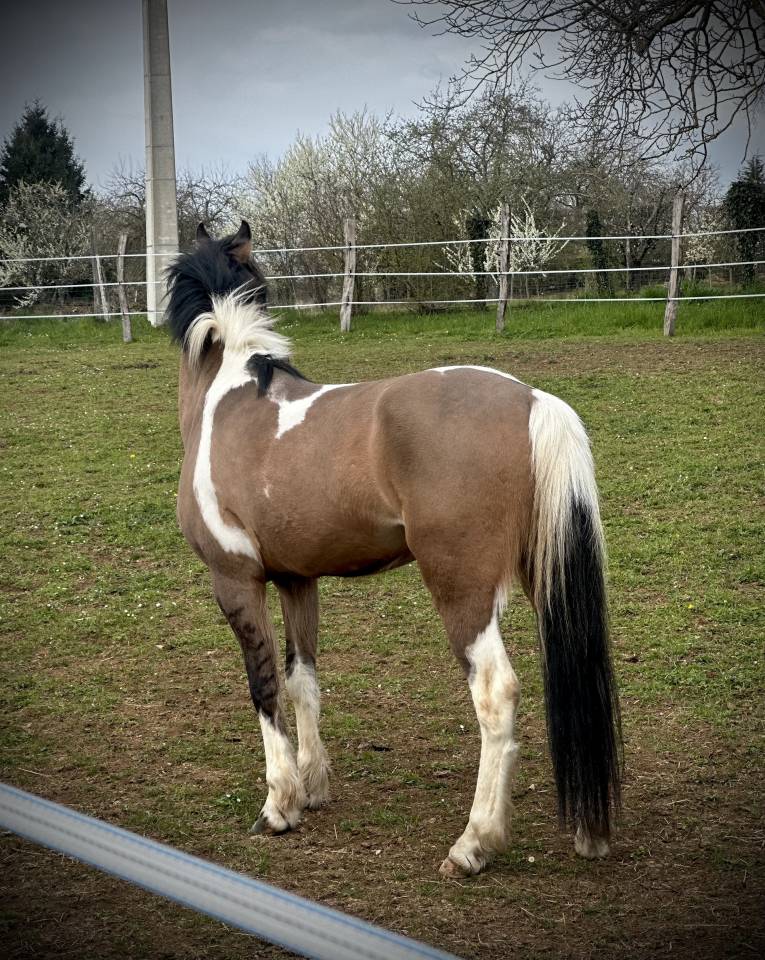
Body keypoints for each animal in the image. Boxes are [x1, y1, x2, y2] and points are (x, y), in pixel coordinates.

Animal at [166, 220, 621, 878]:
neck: (227, 404)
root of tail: (532, 400)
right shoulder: (297, 580)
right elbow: (302, 680)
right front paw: (314, 786)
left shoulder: (236, 581)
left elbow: (265, 686)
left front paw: (279, 805)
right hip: (548, 580)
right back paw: (588, 832)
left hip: (462, 591)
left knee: (496, 695)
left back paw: (473, 844)